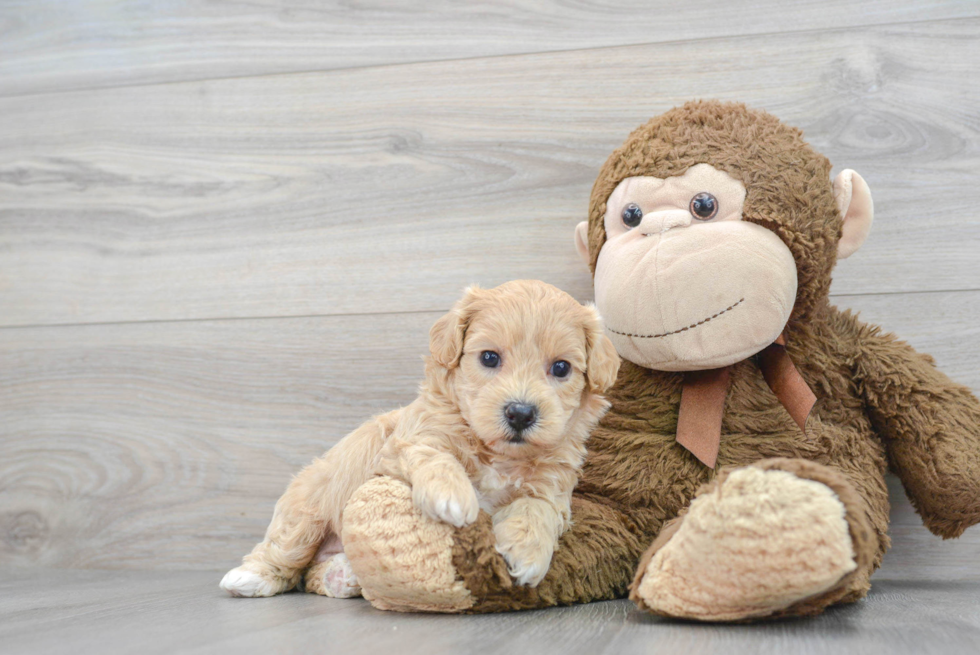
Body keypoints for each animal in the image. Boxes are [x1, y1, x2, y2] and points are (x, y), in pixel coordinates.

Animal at [222, 280, 620, 596]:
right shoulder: (408, 440)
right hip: (309, 506)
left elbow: (538, 508)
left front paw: (527, 553)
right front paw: (452, 495)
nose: (520, 413)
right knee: (287, 551)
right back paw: (250, 577)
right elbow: (434, 454)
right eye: (489, 358)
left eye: (561, 368)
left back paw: (343, 575)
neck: (496, 453)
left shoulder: (553, 484)